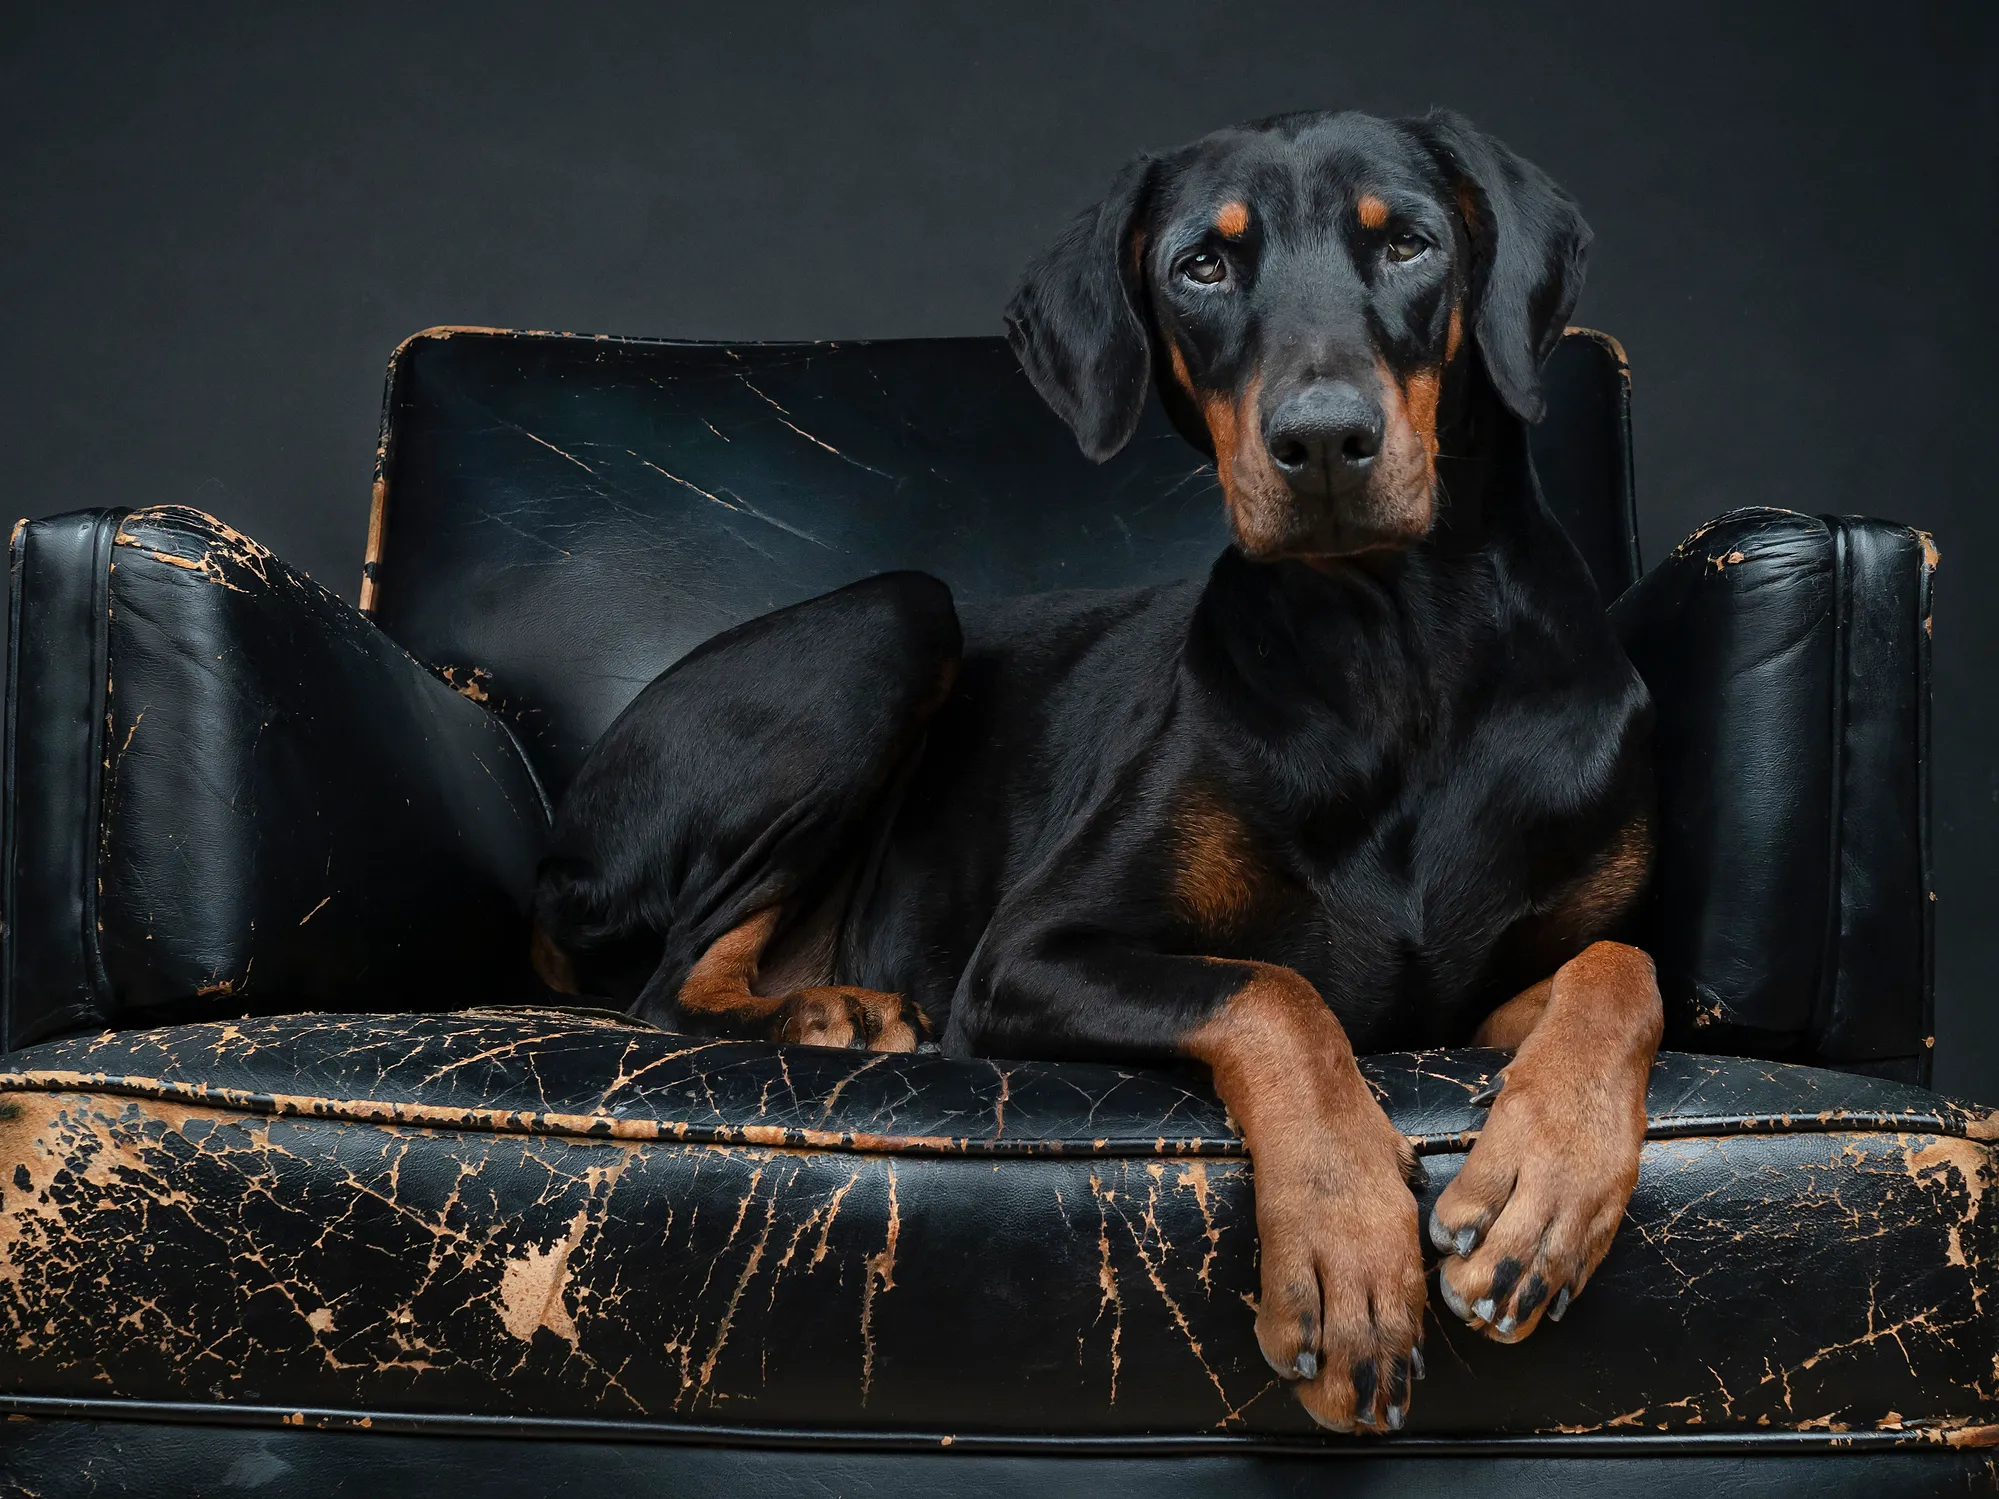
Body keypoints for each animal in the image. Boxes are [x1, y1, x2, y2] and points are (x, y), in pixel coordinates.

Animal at [527, 111, 1655, 1439]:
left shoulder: (1471, 998)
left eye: (1410, 243)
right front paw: (1344, 1252)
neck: (1398, 658)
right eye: (1201, 266)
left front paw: (1543, 1182)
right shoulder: (1025, 956)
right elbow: (1274, 991)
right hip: (893, 618)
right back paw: (832, 1009)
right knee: (665, 980)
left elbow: (1622, 966)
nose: (1323, 440)